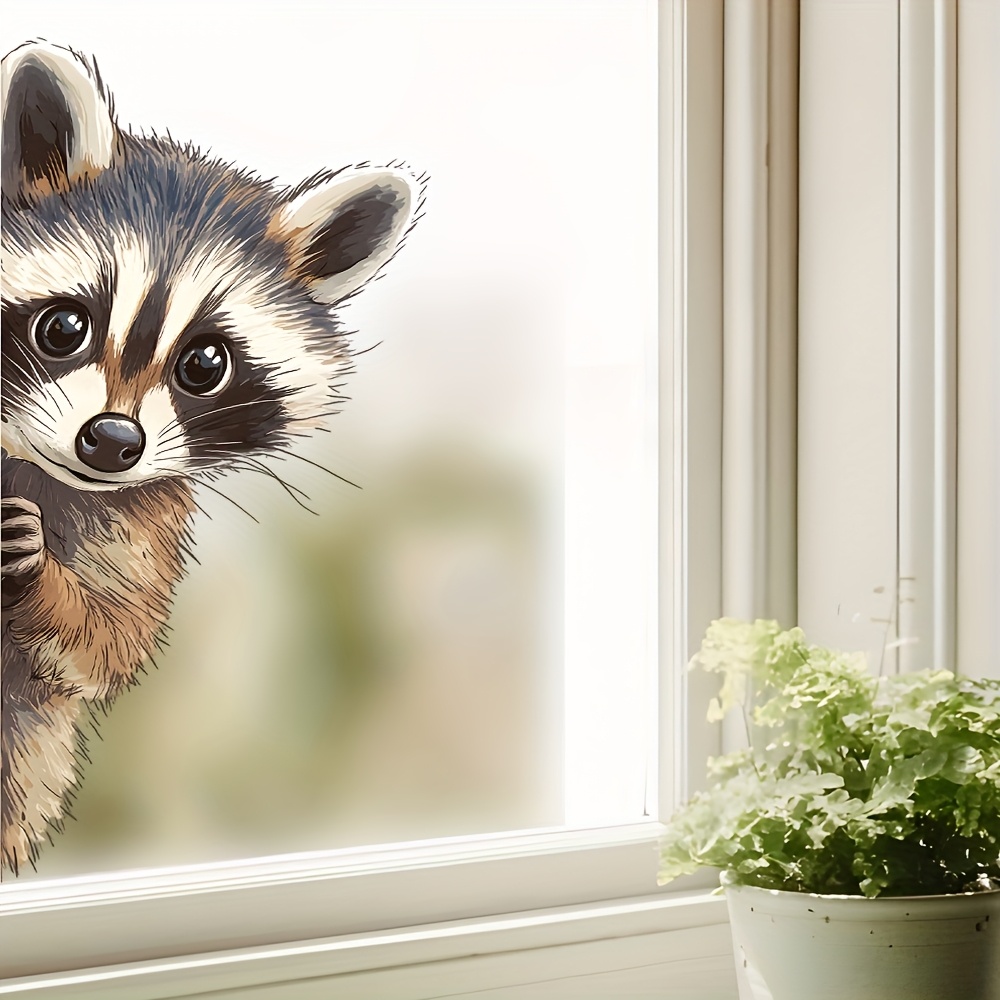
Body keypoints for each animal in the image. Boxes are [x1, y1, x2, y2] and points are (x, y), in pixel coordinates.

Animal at [0, 40, 423, 874]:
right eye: (64, 326)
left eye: (205, 364)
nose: (111, 442)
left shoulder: (141, 524)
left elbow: (105, 642)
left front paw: (44, 580)